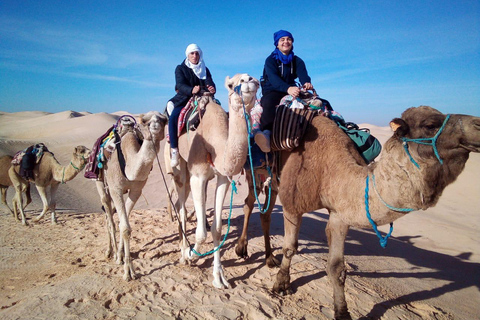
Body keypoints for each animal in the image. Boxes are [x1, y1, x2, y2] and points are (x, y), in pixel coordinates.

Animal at [94, 111, 168, 282]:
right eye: (145, 121)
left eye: (164, 120)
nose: (156, 126)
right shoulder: (116, 189)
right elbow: (124, 227)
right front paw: (128, 272)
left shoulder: (136, 191)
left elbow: (125, 225)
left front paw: (123, 258)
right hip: (100, 182)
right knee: (108, 217)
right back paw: (110, 252)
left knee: (111, 217)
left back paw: (114, 252)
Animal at [165, 74, 260, 288]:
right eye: (231, 85)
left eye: (256, 82)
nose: (249, 80)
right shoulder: (197, 177)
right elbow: (201, 233)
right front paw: (190, 254)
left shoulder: (223, 178)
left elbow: (217, 229)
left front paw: (219, 277)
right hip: (180, 169)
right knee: (181, 205)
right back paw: (183, 250)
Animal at [270, 106, 480, 318]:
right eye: (430, 125)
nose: (478, 124)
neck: (331, 171)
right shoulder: (293, 203)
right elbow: (289, 248)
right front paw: (281, 285)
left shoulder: (340, 214)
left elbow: (336, 267)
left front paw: (342, 312)